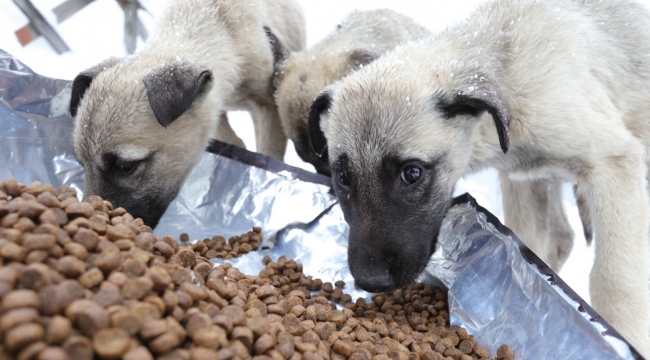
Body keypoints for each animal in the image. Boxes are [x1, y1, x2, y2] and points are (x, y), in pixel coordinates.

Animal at [69, 0, 308, 228]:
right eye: (80, 163)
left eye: (125, 167)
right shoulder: (214, 109)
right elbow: (228, 135)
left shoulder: (267, 106)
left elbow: (268, 154)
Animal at [306, 0, 648, 354]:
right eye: (342, 176)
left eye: (411, 173)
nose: (369, 281)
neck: (509, 70)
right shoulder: (523, 180)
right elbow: (533, 245)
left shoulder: (613, 163)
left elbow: (615, 281)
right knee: (560, 237)